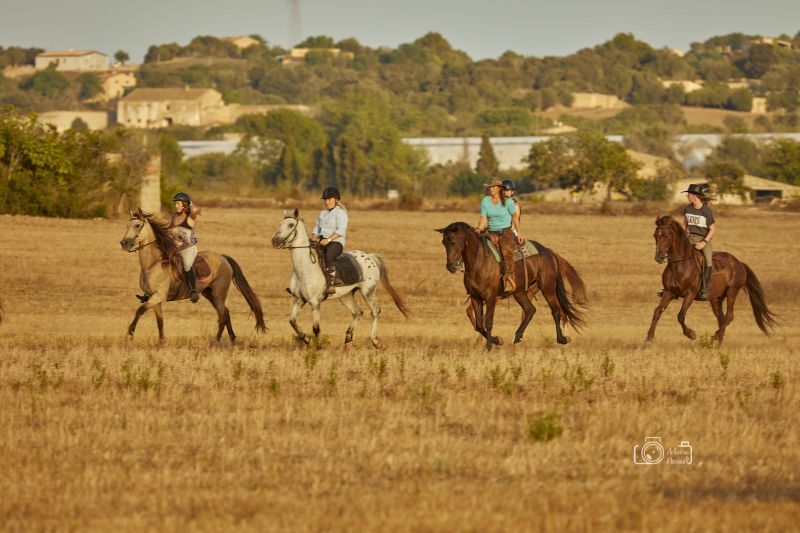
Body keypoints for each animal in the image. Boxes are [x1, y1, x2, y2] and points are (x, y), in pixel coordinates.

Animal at [119, 208, 268, 340]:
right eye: (127, 225)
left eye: (137, 225)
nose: (123, 243)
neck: (153, 263)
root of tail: (223, 258)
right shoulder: (153, 298)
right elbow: (159, 321)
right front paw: (161, 342)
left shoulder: (158, 296)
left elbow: (140, 310)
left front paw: (130, 332)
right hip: (209, 293)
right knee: (225, 313)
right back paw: (232, 338)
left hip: (218, 293)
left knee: (222, 315)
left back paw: (216, 341)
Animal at [272, 208, 410, 350]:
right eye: (280, 224)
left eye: (290, 225)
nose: (275, 241)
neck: (304, 268)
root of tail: (370, 257)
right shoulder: (298, 299)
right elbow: (292, 321)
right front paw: (306, 339)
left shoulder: (315, 303)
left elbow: (316, 328)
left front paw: (318, 347)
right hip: (346, 296)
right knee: (357, 312)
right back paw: (348, 337)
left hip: (367, 292)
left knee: (375, 311)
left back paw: (375, 341)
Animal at [434, 220, 584, 350]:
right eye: (443, 242)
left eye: (453, 241)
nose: (451, 266)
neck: (479, 262)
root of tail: (548, 252)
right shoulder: (475, 297)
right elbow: (479, 324)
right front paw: (496, 340)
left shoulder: (491, 297)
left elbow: (488, 321)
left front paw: (489, 345)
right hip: (521, 292)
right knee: (530, 310)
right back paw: (517, 336)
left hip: (547, 288)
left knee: (556, 310)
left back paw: (562, 339)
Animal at [648, 214, 780, 342]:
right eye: (655, 235)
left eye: (666, 236)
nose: (659, 257)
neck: (679, 264)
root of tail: (739, 263)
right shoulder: (668, 292)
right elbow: (657, 312)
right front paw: (648, 339)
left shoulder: (690, 294)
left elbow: (680, 315)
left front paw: (691, 334)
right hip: (716, 299)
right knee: (721, 318)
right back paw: (718, 340)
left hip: (732, 291)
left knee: (729, 317)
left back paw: (715, 337)